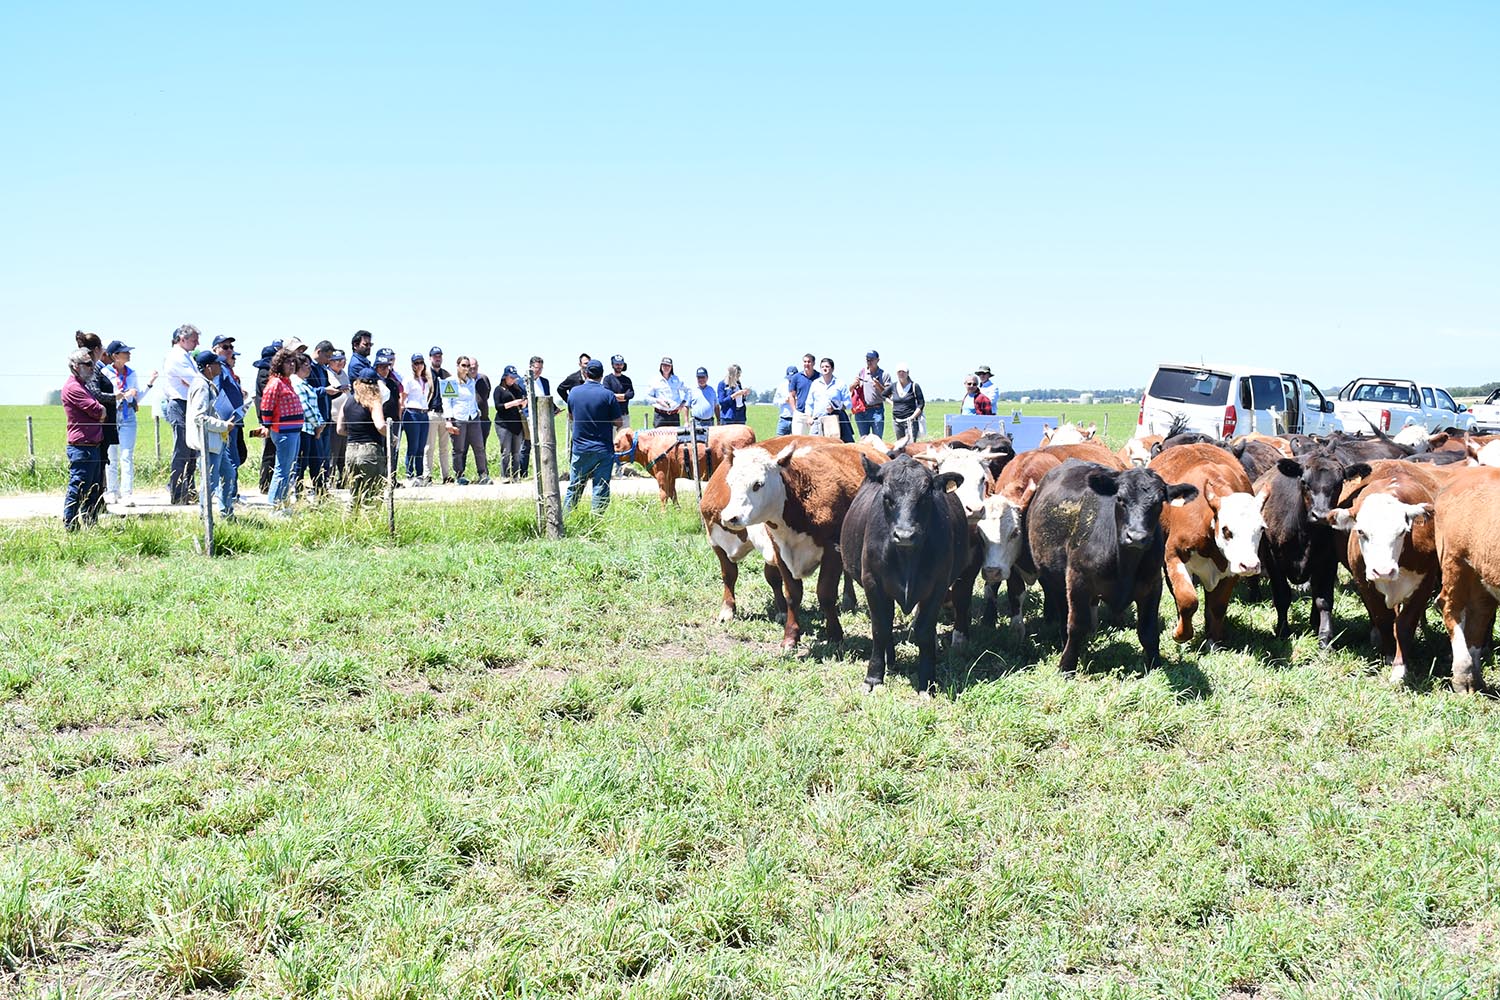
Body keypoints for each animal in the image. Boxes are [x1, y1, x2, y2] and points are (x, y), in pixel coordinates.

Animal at [840, 455, 966, 695]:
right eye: (886, 497)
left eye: (926, 496)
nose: (905, 535)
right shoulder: (873, 583)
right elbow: (880, 628)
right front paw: (873, 678)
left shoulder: (938, 586)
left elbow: (924, 631)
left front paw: (927, 680)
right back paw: (889, 661)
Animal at [1032, 461, 1194, 671]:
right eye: (1120, 499)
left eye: (1159, 503)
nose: (1136, 537)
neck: (1125, 566)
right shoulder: (1077, 580)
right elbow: (1076, 626)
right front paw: (1067, 666)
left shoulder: (1152, 584)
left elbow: (1148, 630)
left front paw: (1155, 665)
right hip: (1053, 579)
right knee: (1063, 611)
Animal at [1146, 440, 1266, 644]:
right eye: (1226, 530)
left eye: (1261, 529)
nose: (1250, 565)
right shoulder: (1173, 555)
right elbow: (1187, 600)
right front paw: (1180, 634)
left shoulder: (1231, 568)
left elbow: (1217, 606)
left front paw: (1214, 640)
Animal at [1254, 452, 1374, 641]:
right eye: (1304, 482)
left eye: (1339, 483)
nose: (1321, 515)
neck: (1305, 534)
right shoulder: (1273, 560)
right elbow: (1282, 596)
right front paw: (1282, 631)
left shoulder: (1328, 562)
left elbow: (1323, 600)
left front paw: (1325, 637)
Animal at [1338, 464, 1440, 683]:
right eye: (1361, 531)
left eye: (1402, 531)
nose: (1383, 570)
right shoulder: (1365, 584)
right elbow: (1383, 618)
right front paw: (1390, 654)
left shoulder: (1424, 584)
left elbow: (1404, 624)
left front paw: (1400, 667)